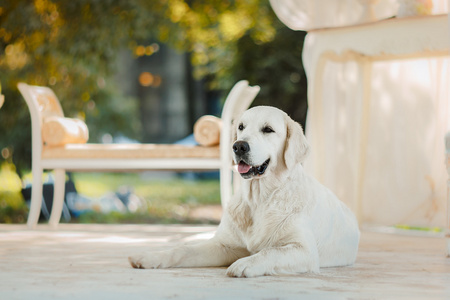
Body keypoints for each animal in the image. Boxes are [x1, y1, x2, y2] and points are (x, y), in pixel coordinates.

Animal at [128, 106, 360, 278]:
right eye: (240, 127)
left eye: (268, 129)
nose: (239, 146)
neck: (259, 199)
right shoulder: (224, 246)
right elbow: (183, 248)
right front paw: (151, 257)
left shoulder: (304, 250)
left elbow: (271, 251)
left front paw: (245, 263)